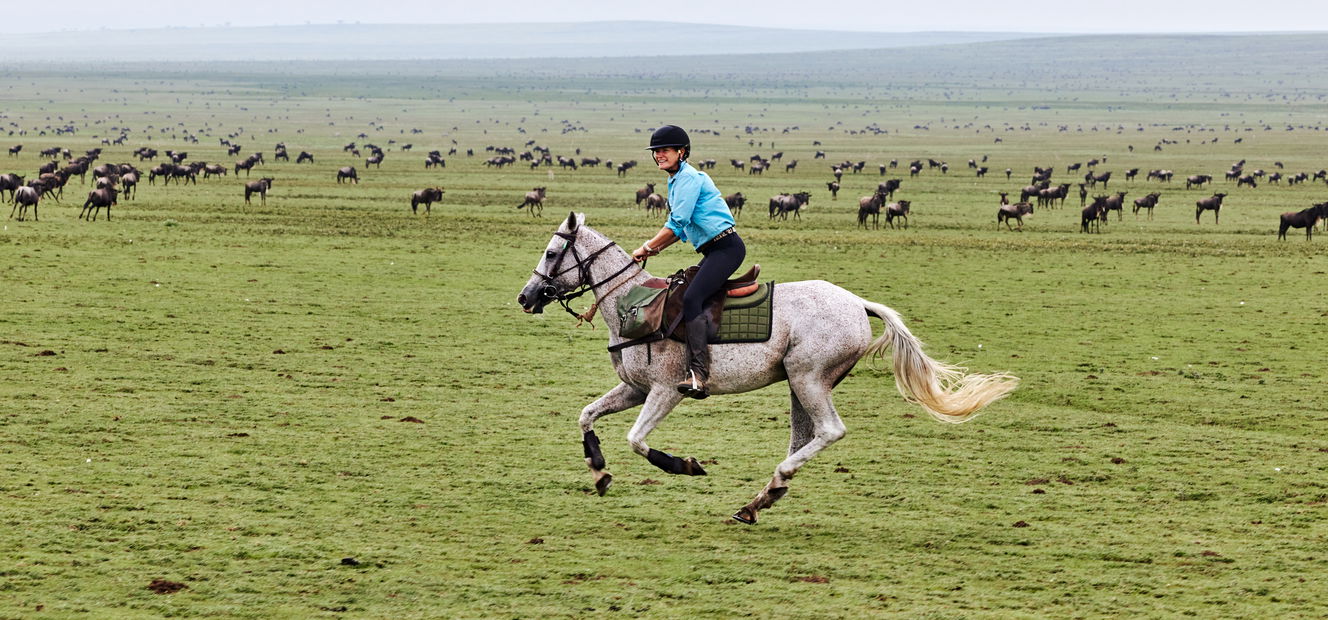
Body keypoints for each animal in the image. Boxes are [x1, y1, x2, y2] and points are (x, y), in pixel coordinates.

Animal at [517, 213, 1017, 524]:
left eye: (551, 254)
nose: (525, 297)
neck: (632, 302)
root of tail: (859, 304)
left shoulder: (666, 391)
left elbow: (638, 441)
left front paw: (686, 465)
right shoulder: (635, 390)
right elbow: (586, 416)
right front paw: (599, 472)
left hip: (808, 378)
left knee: (829, 432)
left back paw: (768, 489)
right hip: (799, 385)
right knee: (805, 436)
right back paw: (761, 499)